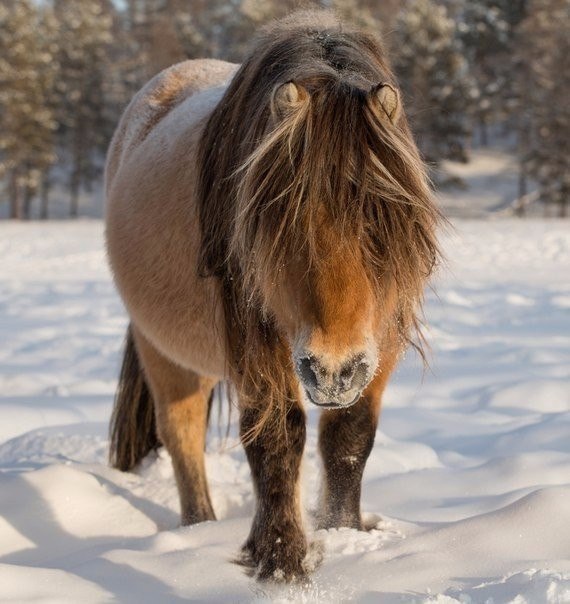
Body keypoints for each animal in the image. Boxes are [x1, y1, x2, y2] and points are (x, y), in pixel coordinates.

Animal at [105, 9, 440, 584]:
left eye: (382, 225)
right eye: (280, 223)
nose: (331, 370)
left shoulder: (379, 344)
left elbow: (349, 439)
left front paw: (345, 535)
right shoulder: (255, 342)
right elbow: (277, 439)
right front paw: (281, 563)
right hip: (164, 352)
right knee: (182, 437)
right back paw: (197, 531)